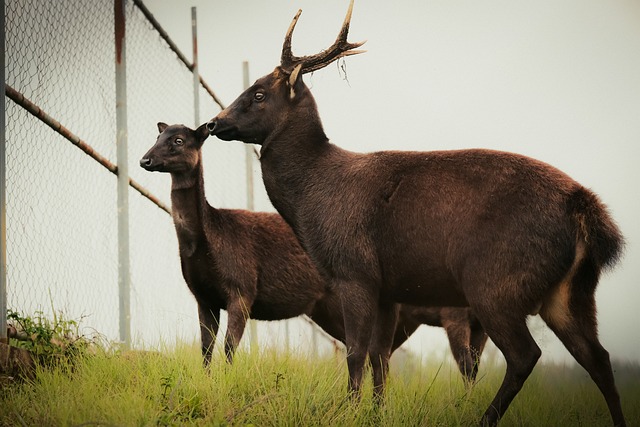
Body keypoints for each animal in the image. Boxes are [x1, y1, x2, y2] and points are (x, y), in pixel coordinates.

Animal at [139, 122, 488, 381]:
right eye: (157, 136)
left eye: (179, 140)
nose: (145, 160)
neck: (208, 243)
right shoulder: (203, 296)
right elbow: (205, 352)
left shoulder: (242, 286)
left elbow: (228, 349)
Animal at [206, 1, 626, 425]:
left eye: (259, 93)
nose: (212, 122)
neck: (313, 195)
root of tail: (585, 209)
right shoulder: (387, 289)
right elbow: (380, 357)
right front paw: (377, 411)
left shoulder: (354, 270)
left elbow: (356, 353)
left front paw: (350, 411)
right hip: (571, 291)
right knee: (598, 357)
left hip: (496, 282)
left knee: (526, 356)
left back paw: (484, 418)